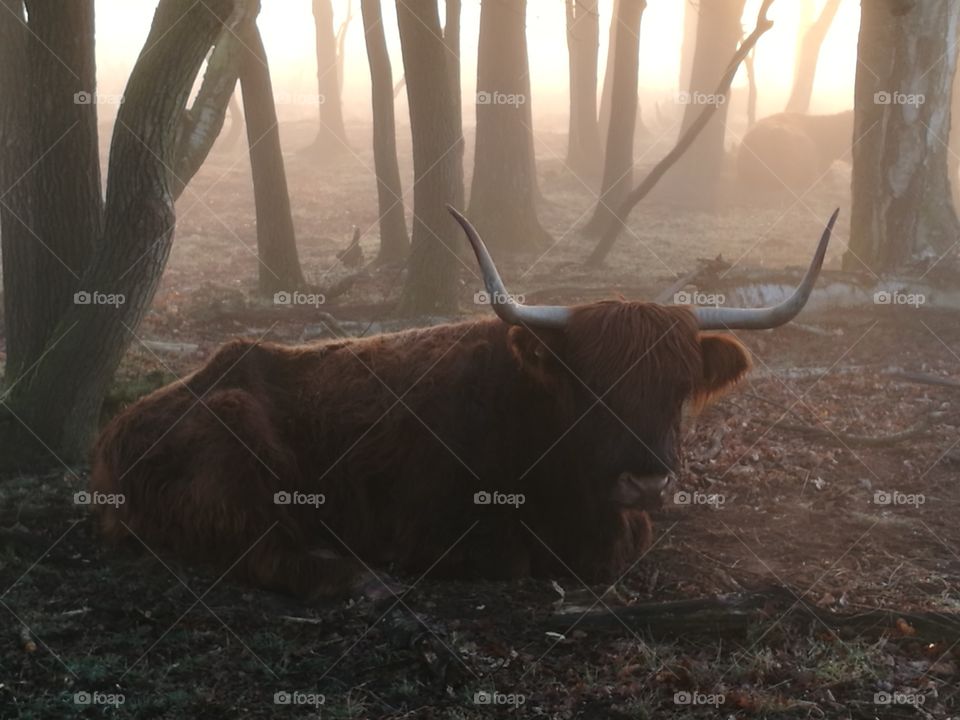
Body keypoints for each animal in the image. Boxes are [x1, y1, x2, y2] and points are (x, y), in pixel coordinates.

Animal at [91, 207, 838, 600]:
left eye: (678, 386)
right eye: (590, 384)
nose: (648, 479)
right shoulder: (434, 527)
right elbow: (509, 564)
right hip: (238, 442)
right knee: (265, 552)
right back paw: (358, 574)